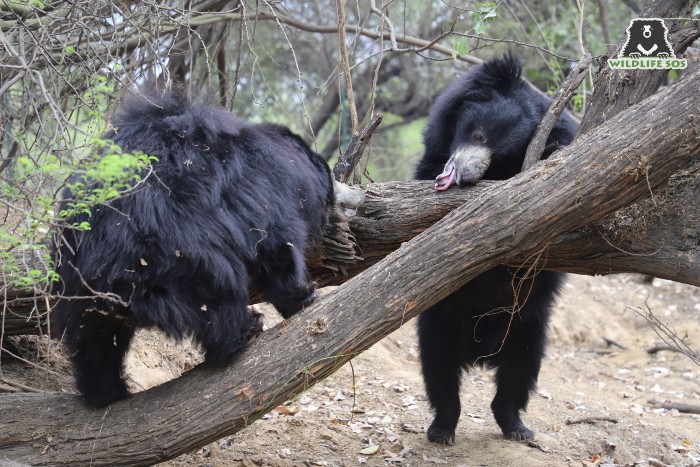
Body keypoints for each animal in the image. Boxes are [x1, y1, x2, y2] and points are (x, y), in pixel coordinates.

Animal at [51, 88, 334, 410]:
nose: (333, 208)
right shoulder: (266, 194)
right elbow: (275, 246)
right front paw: (304, 295)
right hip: (180, 252)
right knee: (216, 296)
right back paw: (242, 332)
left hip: (77, 288)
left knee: (94, 341)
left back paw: (106, 394)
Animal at [412, 53, 576, 444]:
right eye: (478, 134)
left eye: (503, 157)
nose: (463, 176)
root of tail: (481, 351)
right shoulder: (432, 155)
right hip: (440, 318)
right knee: (439, 369)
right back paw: (442, 427)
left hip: (527, 322)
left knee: (520, 372)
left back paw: (516, 425)